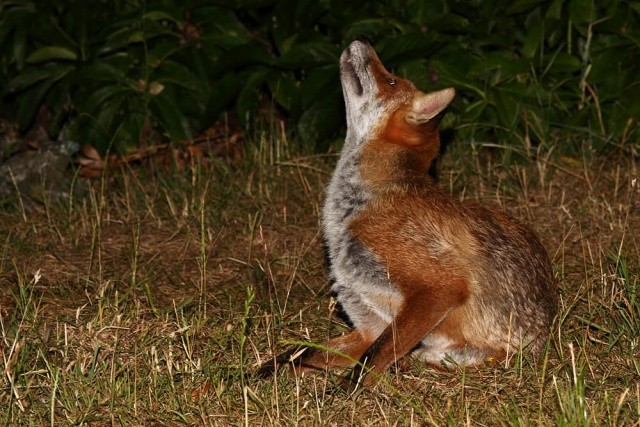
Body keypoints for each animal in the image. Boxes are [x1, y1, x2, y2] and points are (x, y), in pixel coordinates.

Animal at [258, 40, 556, 392]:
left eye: (390, 81)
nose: (360, 41)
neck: (357, 211)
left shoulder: (440, 287)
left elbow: (373, 358)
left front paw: (344, 394)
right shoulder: (368, 323)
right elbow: (301, 353)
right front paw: (256, 374)